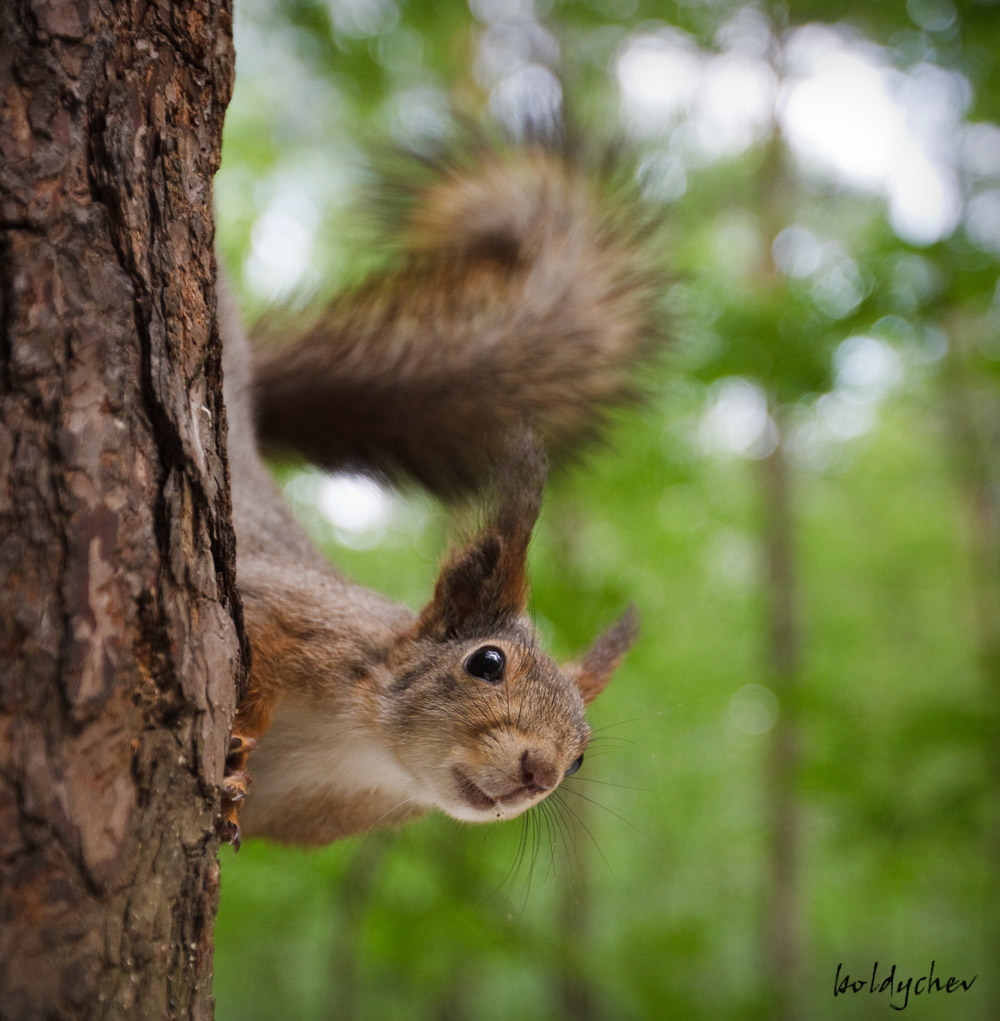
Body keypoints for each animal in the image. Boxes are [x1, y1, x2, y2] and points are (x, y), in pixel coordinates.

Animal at [217, 141, 657, 845]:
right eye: (486, 663)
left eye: (582, 757)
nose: (540, 771)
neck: (360, 748)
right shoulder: (289, 619)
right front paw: (235, 752)